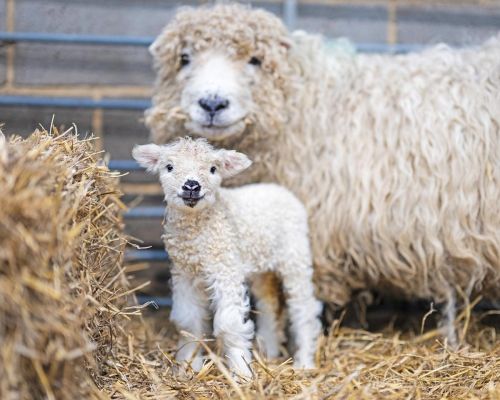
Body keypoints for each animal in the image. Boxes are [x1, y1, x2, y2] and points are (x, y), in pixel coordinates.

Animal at [131, 138, 322, 378]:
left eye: (213, 169)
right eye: (169, 167)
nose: (192, 186)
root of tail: (279, 189)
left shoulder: (225, 269)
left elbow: (229, 325)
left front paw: (242, 372)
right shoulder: (184, 274)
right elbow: (188, 321)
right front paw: (187, 366)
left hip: (295, 256)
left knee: (303, 309)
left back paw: (304, 361)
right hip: (261, 266)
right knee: (268, 303)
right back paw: (268, 350)